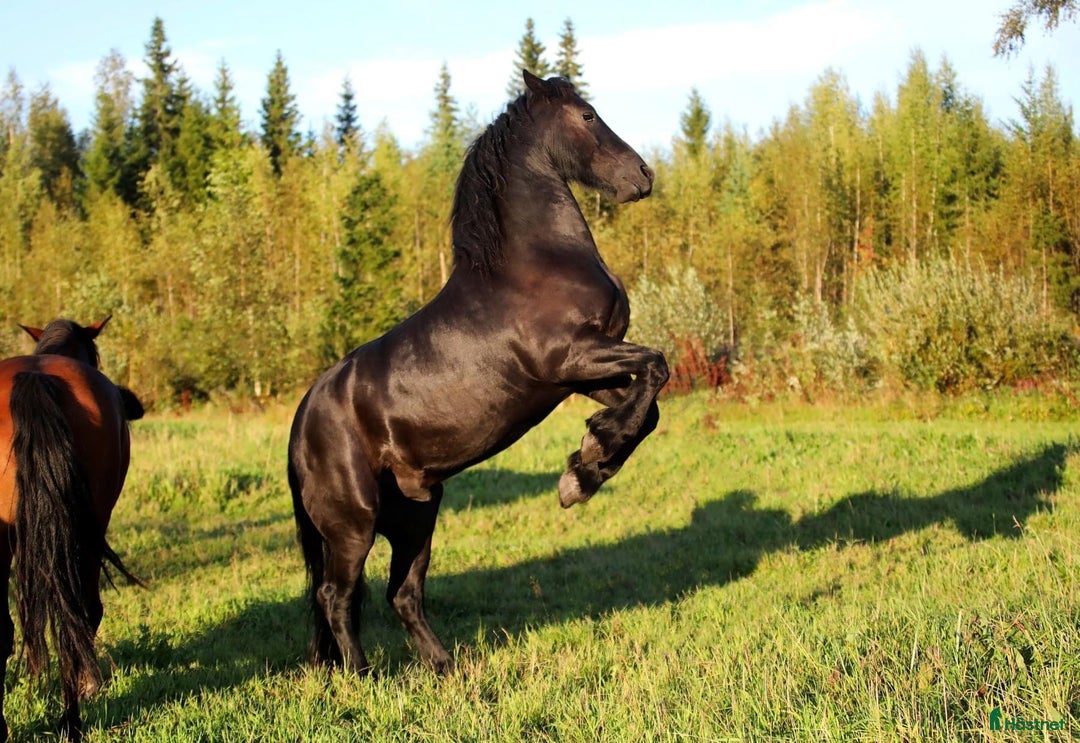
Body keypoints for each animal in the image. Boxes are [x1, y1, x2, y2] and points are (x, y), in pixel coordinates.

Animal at [288, 70, 668, 676]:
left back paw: (445, 667)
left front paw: (585, 469)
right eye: (586, 115)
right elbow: (657, 367)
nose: (642, 175)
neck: (535, 262)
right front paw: (582, 472)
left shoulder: (581, 377)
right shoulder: (571, 357)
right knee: (336, 596)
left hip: (417, 514)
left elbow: (646, 410)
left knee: (402, 593)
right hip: (354, 523)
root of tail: (302, 421)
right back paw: (364, 675)